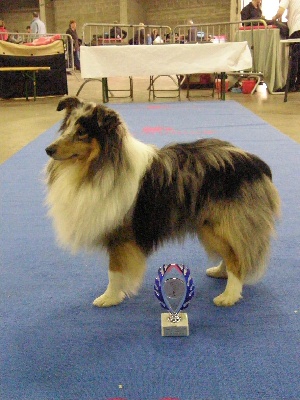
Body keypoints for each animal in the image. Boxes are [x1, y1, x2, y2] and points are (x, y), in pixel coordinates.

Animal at [45, 96, 282, 306]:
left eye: (82, 132)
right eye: (66, 128)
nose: (48, 149)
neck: (99, 166)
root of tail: (254, 162)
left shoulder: (121, 234)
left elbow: (114, 270)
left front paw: (109, 298)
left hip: (216, 224)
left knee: (237, 259)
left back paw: (229, 296)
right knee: (234, 251)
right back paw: (219, 272)